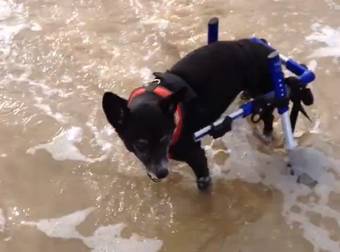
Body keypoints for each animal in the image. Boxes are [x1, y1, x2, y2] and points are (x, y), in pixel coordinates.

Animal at [102, 38, 274, 190]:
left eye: (165, 137)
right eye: (140, 144)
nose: (162, 173)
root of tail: (264, 45)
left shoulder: (197, 157)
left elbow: (203, 185)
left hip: (265, 94)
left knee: (268, 114)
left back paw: (267, 133)